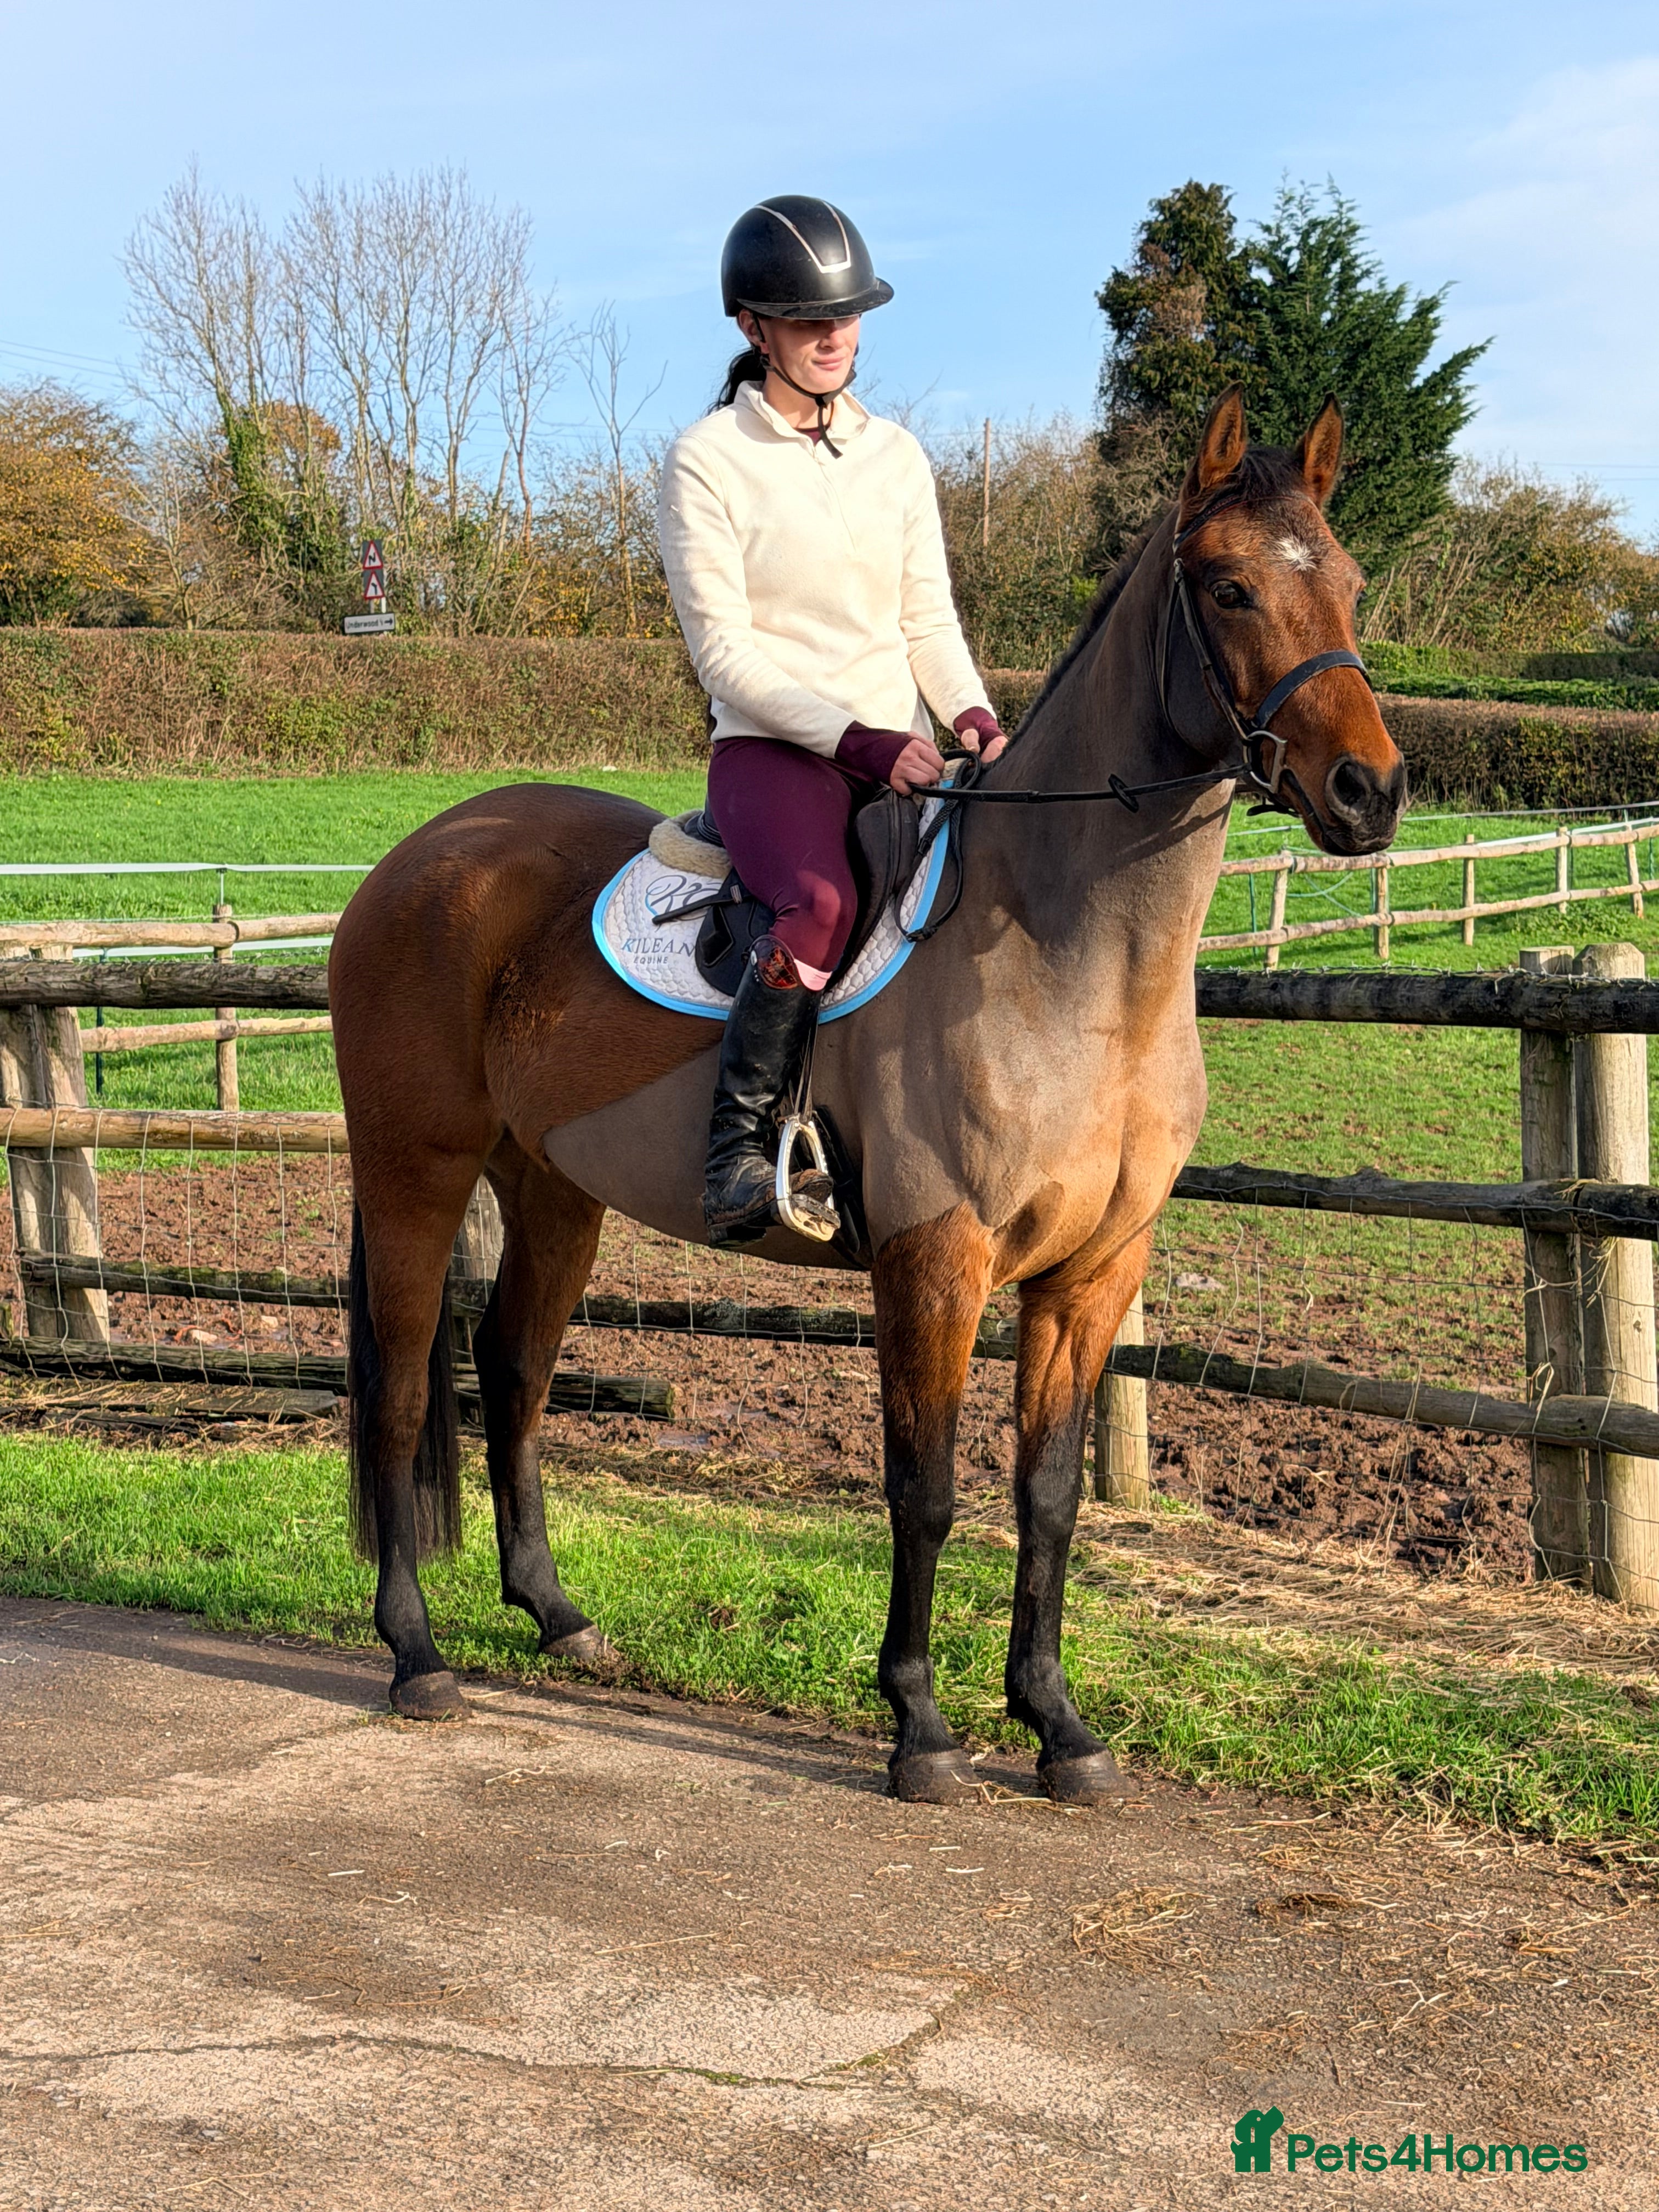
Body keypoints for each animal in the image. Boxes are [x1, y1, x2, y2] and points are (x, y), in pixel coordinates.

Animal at [329, 386, 1405, 1803]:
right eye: (1228, 587)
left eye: (1345, 582)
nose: (1371, 792)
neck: (1067, 960)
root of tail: (423, 854)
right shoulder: (934, 1260)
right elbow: (926, 1490)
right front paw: (922, 1726)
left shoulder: (1092, 1274)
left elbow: (1048, 1496)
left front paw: (1057, 1725)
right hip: (418, 1168)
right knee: (406, 1387)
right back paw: (416, 1654)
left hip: (553, 1187)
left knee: (513, 1372)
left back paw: (557, 1619)